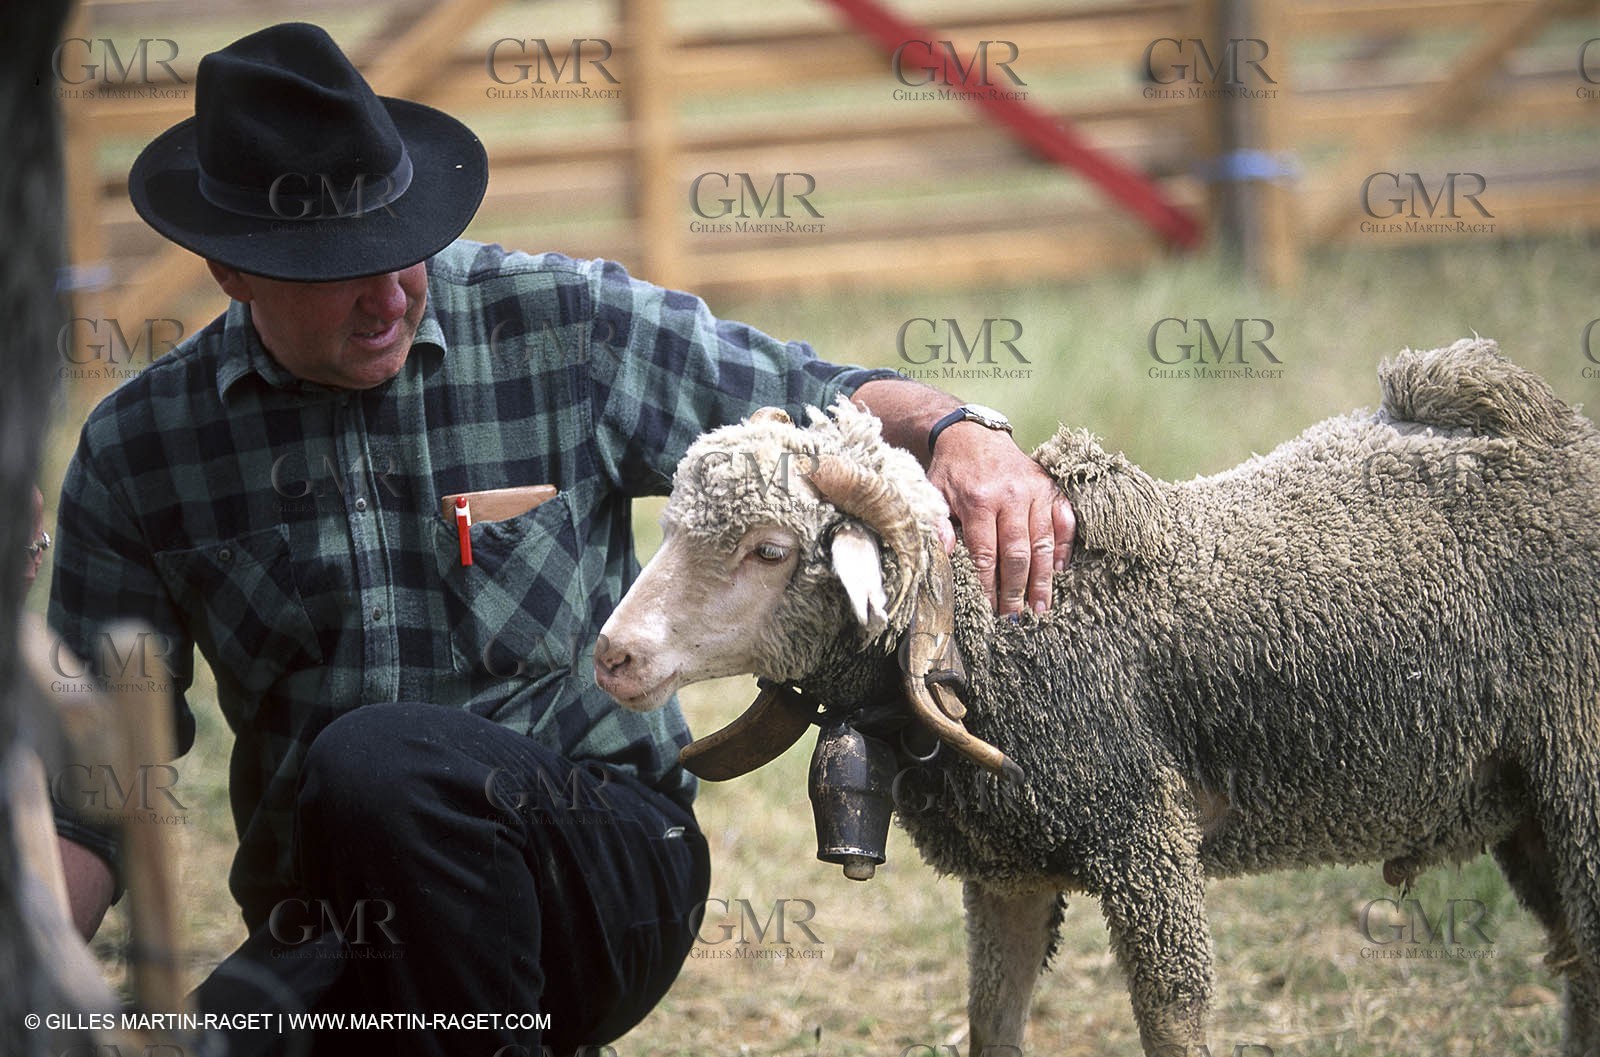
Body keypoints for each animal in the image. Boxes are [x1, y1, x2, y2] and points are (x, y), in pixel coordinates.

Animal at [593, 337, 1600, 1057]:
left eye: (769, 550)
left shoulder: (1146, 840)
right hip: (1526, 810)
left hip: (1579, 779)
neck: (1000, 638)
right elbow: (992, 1025)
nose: (612, 655)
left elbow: (1175, 1025)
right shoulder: (1009, 872)